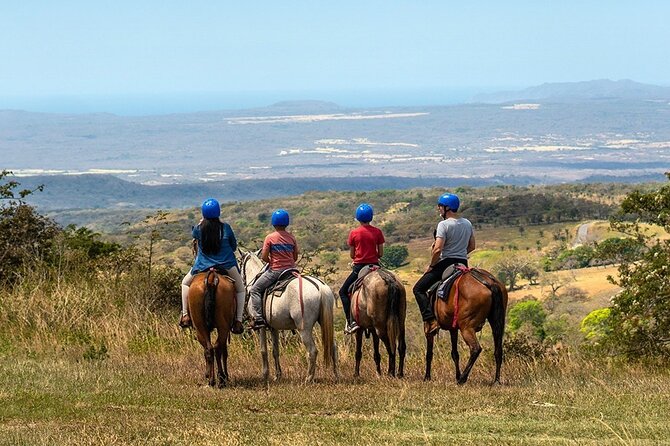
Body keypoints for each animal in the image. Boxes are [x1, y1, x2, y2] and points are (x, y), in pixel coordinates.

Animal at [240, 251, 342, 384]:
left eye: (239, 263)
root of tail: (320, 287)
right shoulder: (274, 328)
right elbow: (275, 351)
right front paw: (277, 375)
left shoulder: (261, 326)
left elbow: (263, 351)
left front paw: (265, 375)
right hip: (325, 323)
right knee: (333, 347)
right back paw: (337, 375)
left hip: (304, 329)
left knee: (312, 351)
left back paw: (308, 378)